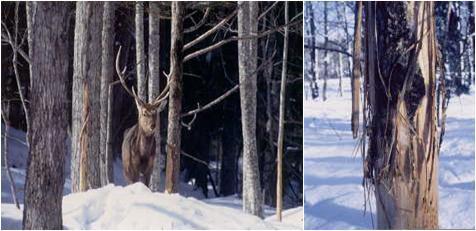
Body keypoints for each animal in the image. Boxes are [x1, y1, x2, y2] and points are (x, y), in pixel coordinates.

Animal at [116, 46, 170, 186]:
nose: (153, 126)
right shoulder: (131, 169)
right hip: (125, 168)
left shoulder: (149, 169)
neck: (142, 154)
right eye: (144, 112)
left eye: (156, 113)